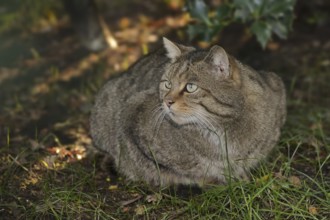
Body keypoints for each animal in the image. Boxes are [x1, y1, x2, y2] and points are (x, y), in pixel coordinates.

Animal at [90, 37, 286, 186]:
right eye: (167, 84)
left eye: (190, 87)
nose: (166, 101)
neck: (223, 127)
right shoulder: (131, 115)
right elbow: (193, 171)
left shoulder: (277, 90)